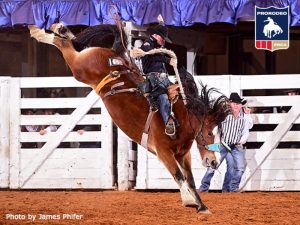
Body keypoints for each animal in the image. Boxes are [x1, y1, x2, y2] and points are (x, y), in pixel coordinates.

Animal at [29, 23, 229, 214]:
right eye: (210, 133)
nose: (213, 161)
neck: (179, 118)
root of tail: (115, 52)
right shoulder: (164, 152)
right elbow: (178, 176)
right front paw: (188, 201)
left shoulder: (182, 155)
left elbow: (190, 180)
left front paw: (202, 206)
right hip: (80, 68)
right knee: (64, 46)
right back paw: (43, 31)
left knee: (69, 43)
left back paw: (59, 30)